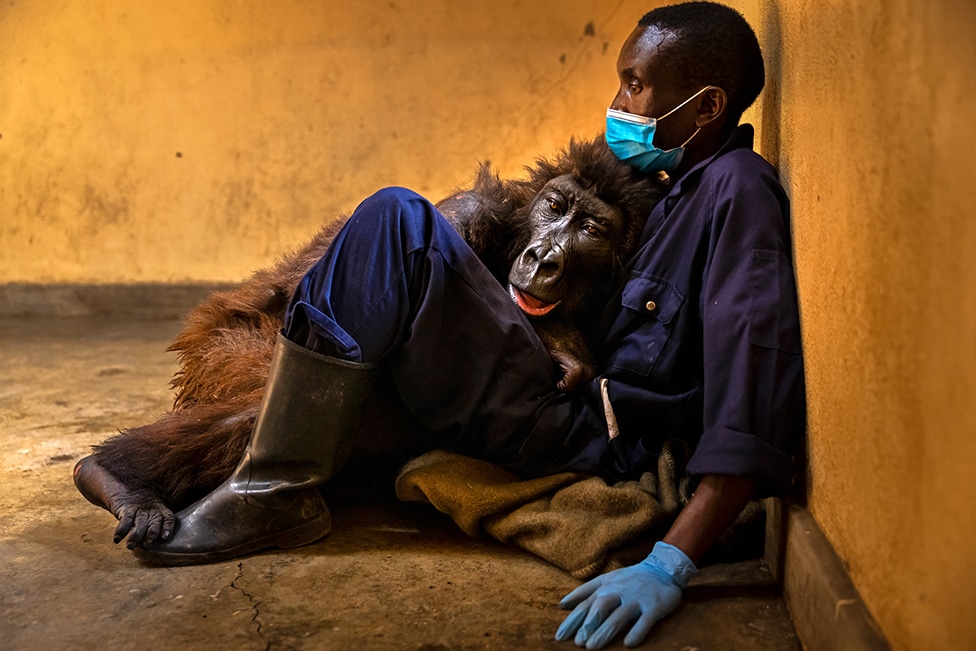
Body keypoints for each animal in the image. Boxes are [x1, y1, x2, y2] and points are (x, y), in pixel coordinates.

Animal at [73, 135, 667, 549]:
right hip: (219, 352)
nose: (544, 257)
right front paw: (558, 339)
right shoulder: (468, 212)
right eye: (556, 206)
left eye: (590, 229)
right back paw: (117, 477)